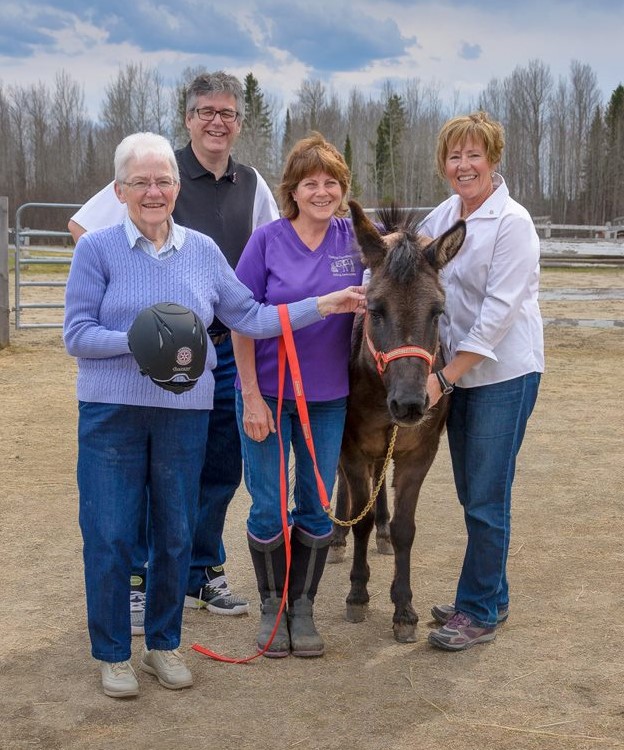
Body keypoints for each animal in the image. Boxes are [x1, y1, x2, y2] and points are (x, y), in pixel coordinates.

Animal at [332, 201, 464, 648]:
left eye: (438, 311)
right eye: (375, 309)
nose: (409, 404)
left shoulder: (419, 454)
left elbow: (406, 527)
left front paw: (403, 609)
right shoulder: (352, 448)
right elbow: (360, 518)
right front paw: (357, 593)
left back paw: (383, 534)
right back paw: (336, 539)